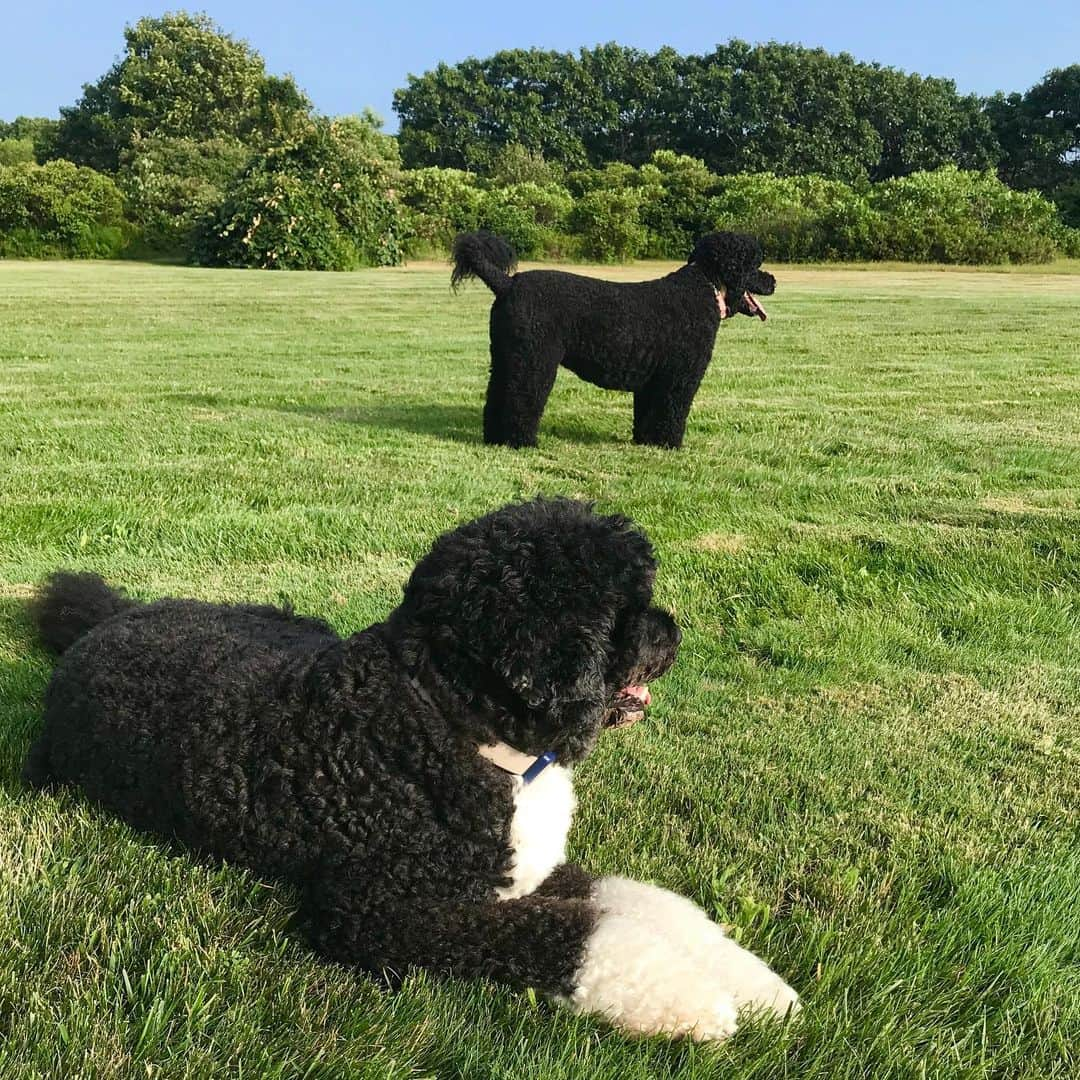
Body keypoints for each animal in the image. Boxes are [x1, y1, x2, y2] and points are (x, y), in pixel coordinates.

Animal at [25, 501, 799, 1041]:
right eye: (620, 613)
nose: (672, 631)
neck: (440, 721)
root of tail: (108, 619)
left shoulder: (526, 869)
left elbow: (649, 903)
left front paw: (756, 984)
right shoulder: (386, 913)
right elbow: (576, 936)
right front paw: (695, 1000)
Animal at [451, 230, 773, 449]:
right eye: (754, 264)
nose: (772, 280)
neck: (703, 288)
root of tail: (506, 283)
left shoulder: (653, 380)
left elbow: (647, 414)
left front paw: (646, 441)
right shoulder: (679, 377)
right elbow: (671, 413)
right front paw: (669, 444)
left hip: (506, 359)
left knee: (497, 398)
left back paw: (496, 439)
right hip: (535, 361)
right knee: (520, 402)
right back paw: (521, 442)